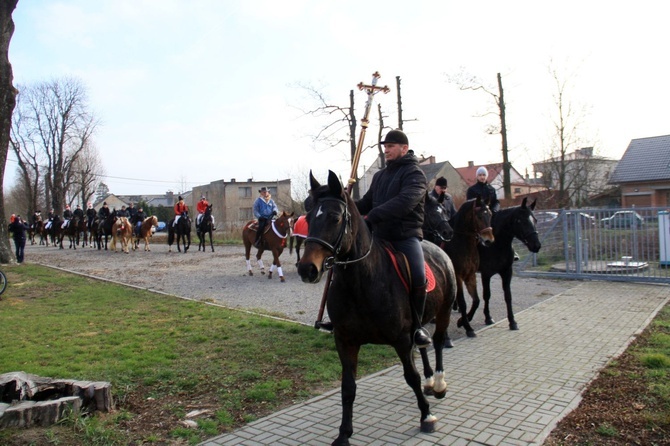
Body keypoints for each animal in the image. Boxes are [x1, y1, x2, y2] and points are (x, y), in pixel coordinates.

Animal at [300, 170, 462, 442]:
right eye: (308, 216)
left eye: (335, 217)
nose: (306, 269)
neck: (361, 281)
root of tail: (437, 249)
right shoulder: (345, 340)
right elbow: (348, 387)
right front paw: (343, 434)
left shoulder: (401, 339)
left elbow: (411, 376)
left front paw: (426, 416)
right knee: (424, 345)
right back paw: (430, 381)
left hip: (444, 311)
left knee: (438, 342)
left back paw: (439, 384)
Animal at [480, 197, 544, 330]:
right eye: (520, 221)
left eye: (535, 220)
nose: (536, 245)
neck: (497, 245)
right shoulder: (485, 274)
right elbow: (487, 295)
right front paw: (488, 318)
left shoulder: (507, 272)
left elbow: (508, 296)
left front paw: (512, 322)